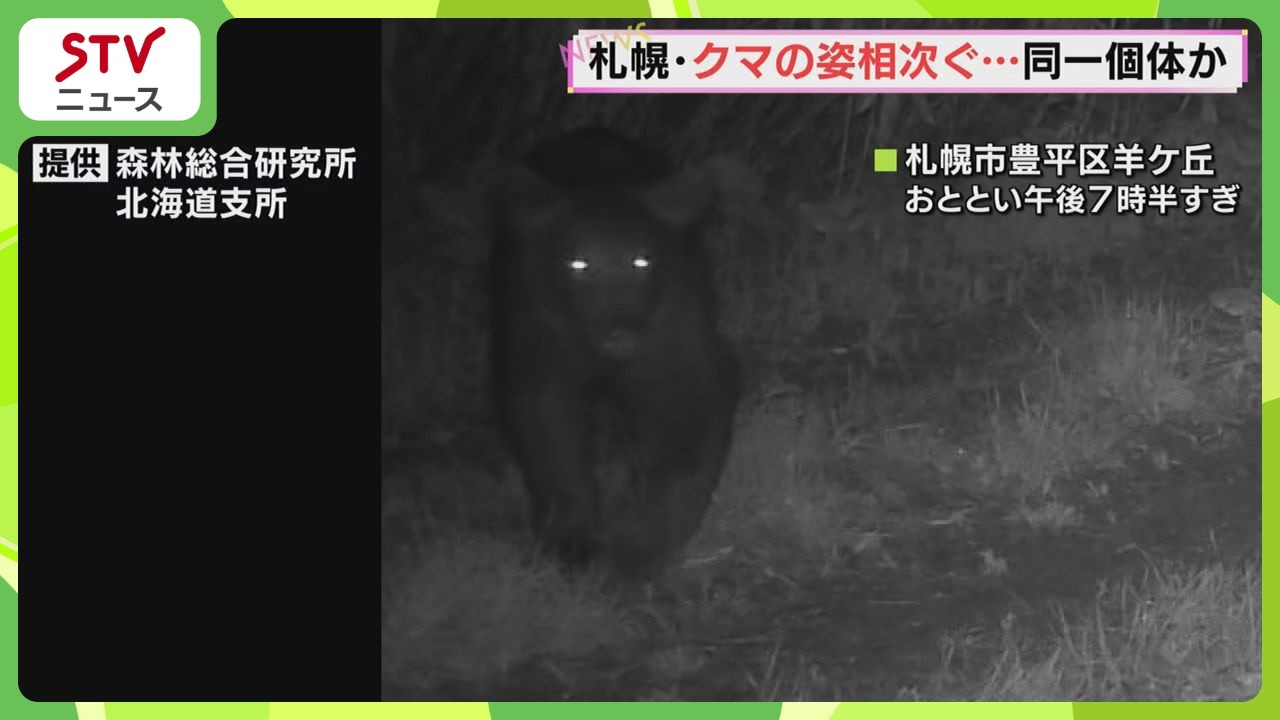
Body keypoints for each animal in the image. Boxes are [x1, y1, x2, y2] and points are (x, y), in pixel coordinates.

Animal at [489, 126, 740, 579]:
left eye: (642, 261)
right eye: (578, 264)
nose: (618, 336)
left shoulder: (674, 331)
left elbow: (686, 428)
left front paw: (641, 552)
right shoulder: (541, 333)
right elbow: (548, 428)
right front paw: (573, 545)